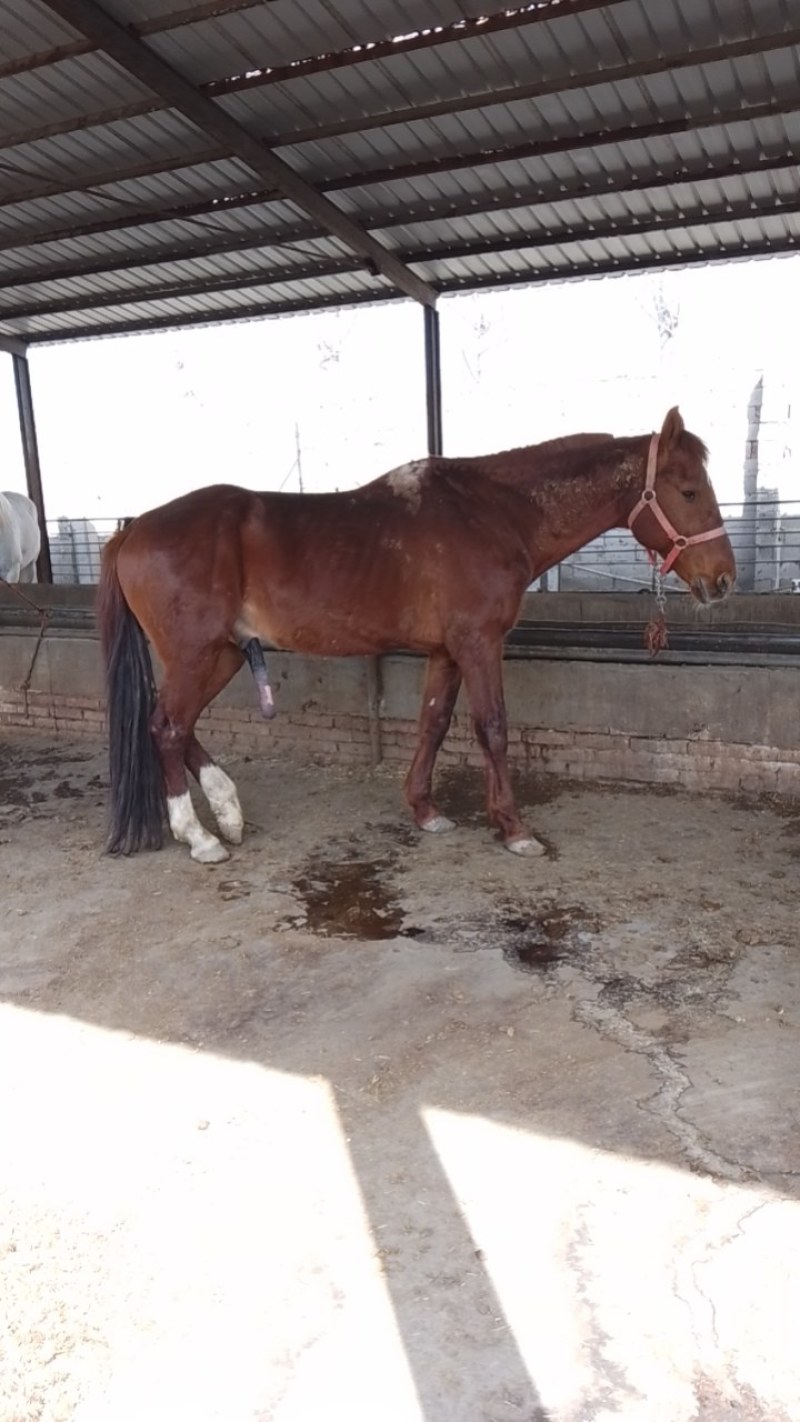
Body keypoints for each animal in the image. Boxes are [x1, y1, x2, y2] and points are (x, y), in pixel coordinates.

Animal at [97, 406, 735, 864]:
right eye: (688, 491)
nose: (723, 579)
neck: (491, 513)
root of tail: (133, 529)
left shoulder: (446, 652)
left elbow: (434, 722)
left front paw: (426, 811)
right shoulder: (479, 644)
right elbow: (492, 727)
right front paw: (514, 828)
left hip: (224, 654)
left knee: (178, 725)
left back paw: (227, 813)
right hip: (195, 653)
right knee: (167, 725)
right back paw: (200, 837)